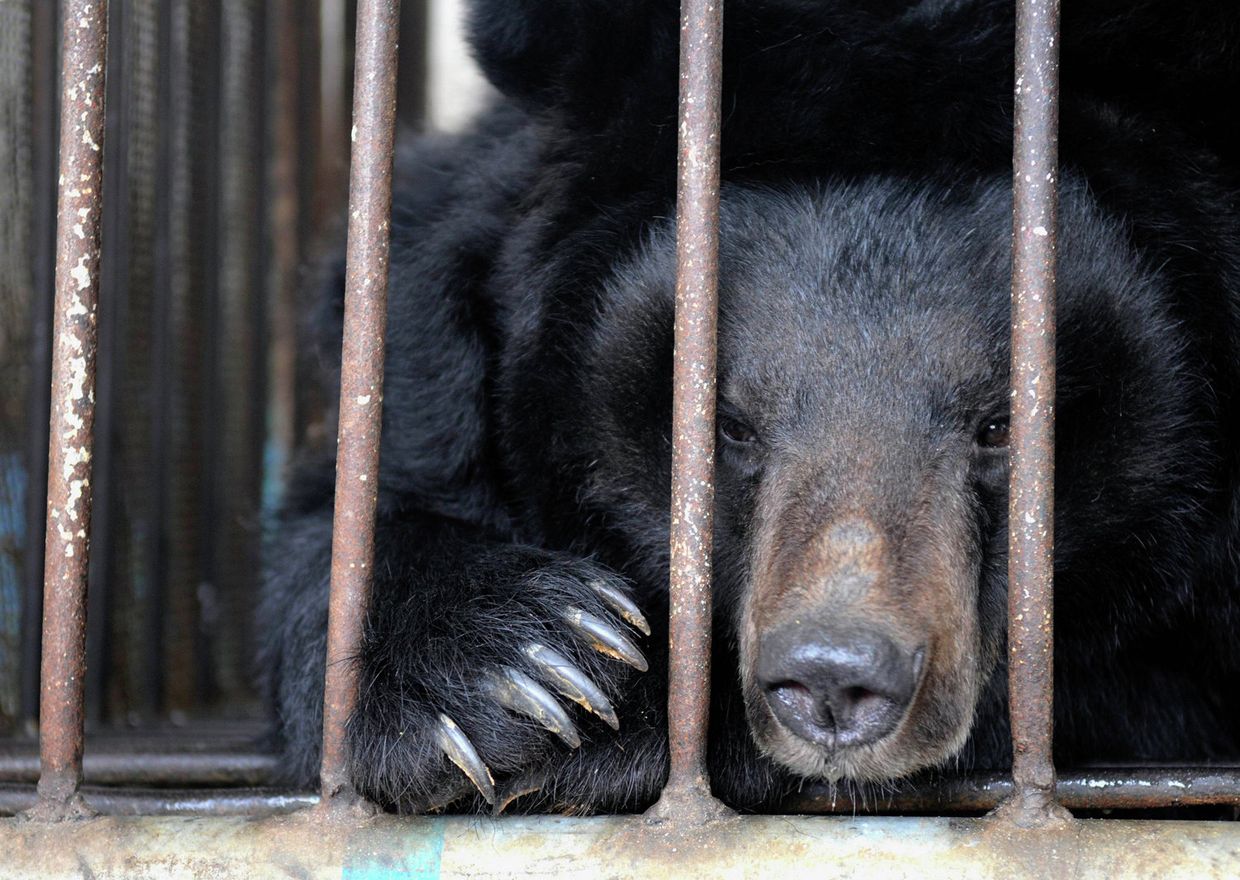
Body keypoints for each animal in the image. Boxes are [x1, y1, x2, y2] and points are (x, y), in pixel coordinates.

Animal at [262, 0, 1240, 813]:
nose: (834, 678)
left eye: (1003, 424)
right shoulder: (423, 348)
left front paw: (631, 715)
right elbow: (348, 525)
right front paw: (531, 676)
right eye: (725, 423)